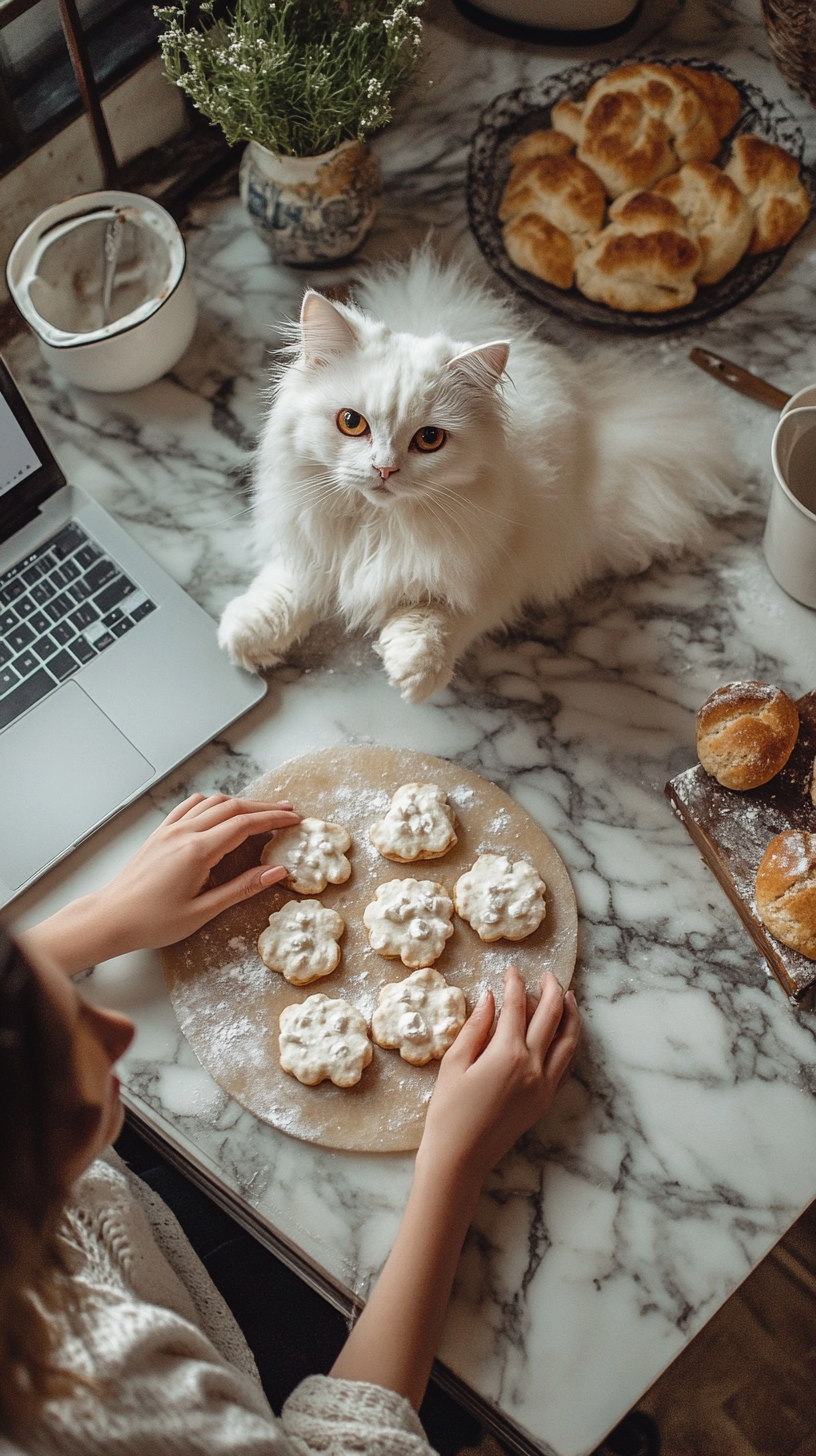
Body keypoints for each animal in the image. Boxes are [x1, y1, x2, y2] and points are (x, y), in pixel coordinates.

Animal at [217, 248, 734, 698]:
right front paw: (246, 638)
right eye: (351, 423)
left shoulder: (501, 571)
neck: (378, 524)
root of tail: (596, 398)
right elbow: (287, 586)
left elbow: (442, 616)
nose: (384, 469)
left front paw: (412, 669)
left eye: (429, 439)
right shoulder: (307, 538)